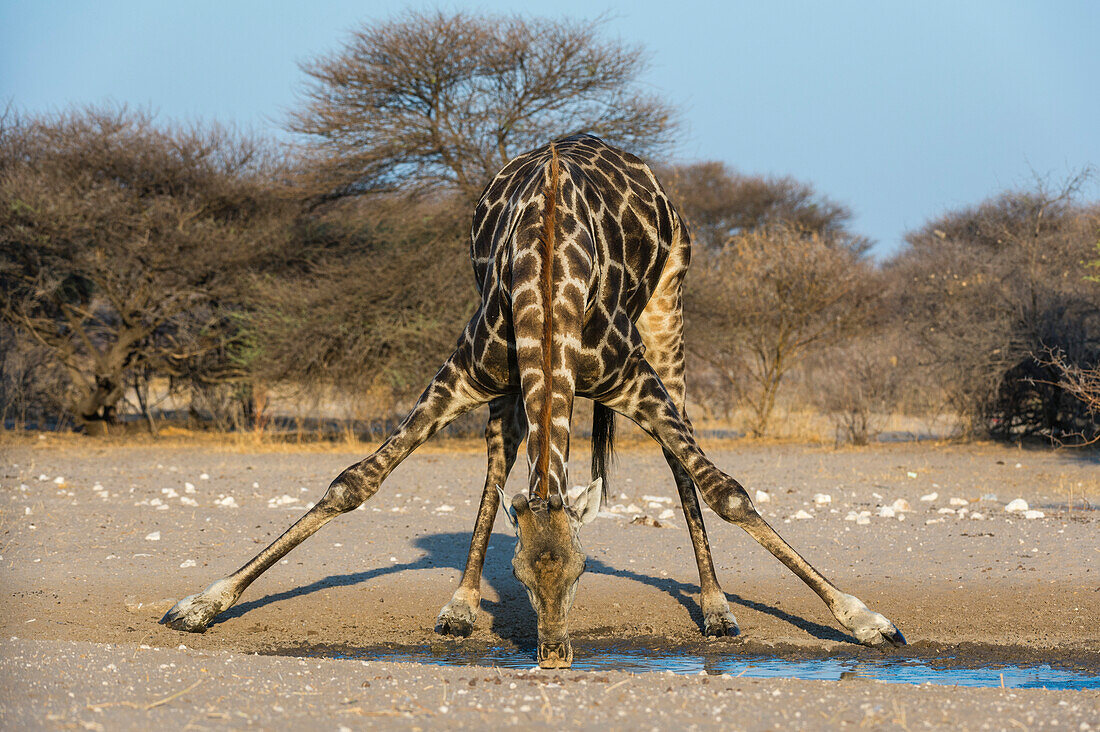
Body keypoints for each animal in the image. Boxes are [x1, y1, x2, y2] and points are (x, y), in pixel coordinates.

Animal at [160, 135, 902, 669]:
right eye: (517, 573)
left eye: (581, 572)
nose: (553, 657)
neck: (550, 285)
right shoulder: (462, 374)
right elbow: (354, 483)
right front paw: (200, 605)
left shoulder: (633, 378)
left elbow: (729, 491)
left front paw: (869, 621)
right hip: (509, 389)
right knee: (499, 462)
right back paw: (458, 604)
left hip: (668, 319)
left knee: (679, 464)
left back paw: (718, 608)